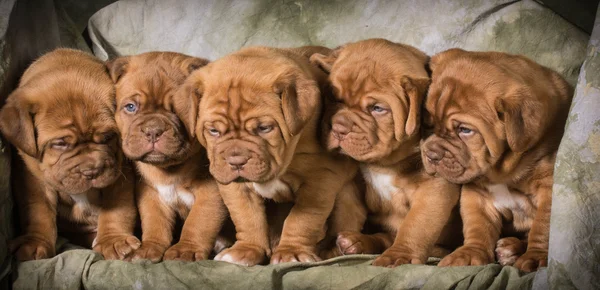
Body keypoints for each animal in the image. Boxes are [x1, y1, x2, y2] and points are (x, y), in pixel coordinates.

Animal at [0, 48, 138, 262]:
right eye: (60, 144)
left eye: (108, 136)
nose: (92, 171)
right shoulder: (33, 178)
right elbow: (38, 210)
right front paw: (35, 242)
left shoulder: (120, 172)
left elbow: (118, 207)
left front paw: (113, 240)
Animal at [106, 52, 226, 262]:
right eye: (131, 107)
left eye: (179, 108)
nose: (153, 130)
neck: (169, 170)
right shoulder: (153, 195)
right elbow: (155, 224)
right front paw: (149, 248)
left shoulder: (210, 194)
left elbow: (198, 223)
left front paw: (186, 250)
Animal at [173, 46, 360, 266]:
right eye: (213, 131)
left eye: (264, 128)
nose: (236, 161)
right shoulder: (236, 188)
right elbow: (247, 217)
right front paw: (246, 249)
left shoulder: (321, 180)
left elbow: (302, 220)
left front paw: (291, 252)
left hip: (347, 194)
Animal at [312, 39, 462, 268]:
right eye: (333, 98)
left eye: (377, 108)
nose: (338, 128)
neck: (384, 164)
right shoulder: (351, 187)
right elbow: (345, 216)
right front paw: (332, 249)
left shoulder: (434, 188)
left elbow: (417, 224)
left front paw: (400, 254)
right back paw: (355, 242)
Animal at [422, 48, 572, 272]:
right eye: (428, 124)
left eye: (465, 130)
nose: (431, 154)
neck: (502, 171)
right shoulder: (477, 194)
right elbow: (478, 227)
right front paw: (470, 253)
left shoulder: (549, 188)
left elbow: (543, 227)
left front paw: (536, 257)